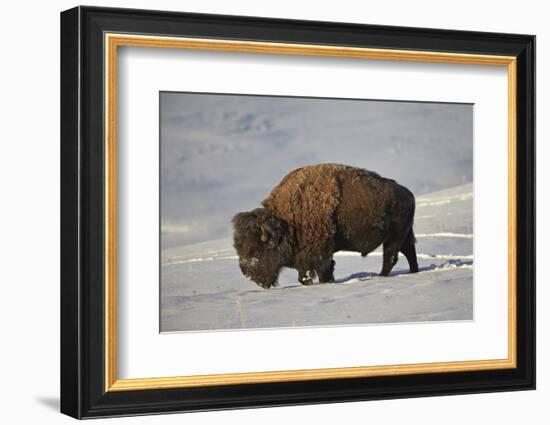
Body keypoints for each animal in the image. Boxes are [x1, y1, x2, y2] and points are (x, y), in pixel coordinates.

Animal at [232, 162, 418, 288]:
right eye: (238, 247)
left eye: (256, 249)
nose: (247, 274)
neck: (286, 222)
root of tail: (409, 194)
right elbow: (307, 275)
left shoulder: (318, 253)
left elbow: (320, 271)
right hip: (404, 235)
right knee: (409, 252)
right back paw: (414, 272)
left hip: (394, 237)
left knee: (390, 258)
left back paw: (381, 277)